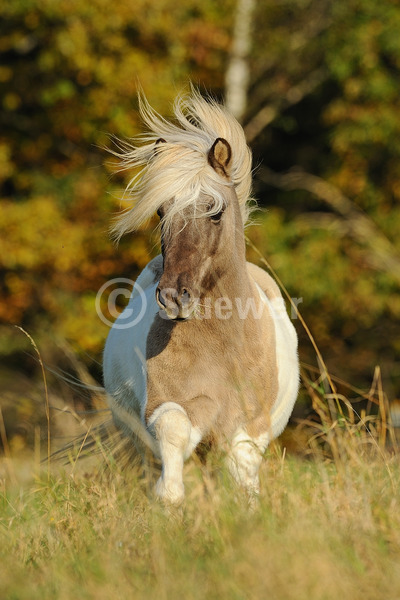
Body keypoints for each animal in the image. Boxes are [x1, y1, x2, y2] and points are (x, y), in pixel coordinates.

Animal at [103, 88, 300, 502]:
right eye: (161, 212)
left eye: (215, 212)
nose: (175, 298)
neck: (223, 348)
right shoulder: (169, 407)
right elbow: (175, 435)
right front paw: (171, 498)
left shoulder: (250, 424)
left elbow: (243, 474)